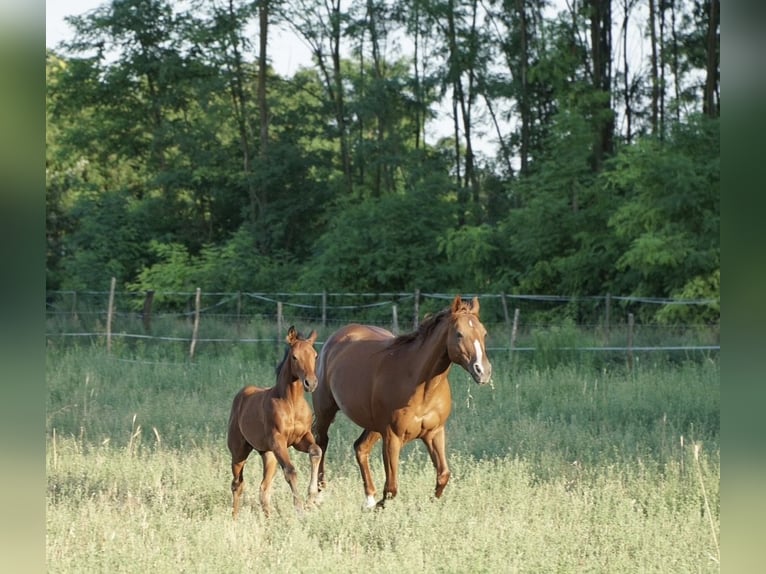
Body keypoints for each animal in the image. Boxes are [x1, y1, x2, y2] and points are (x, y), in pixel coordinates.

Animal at [226, 326, 321, 518]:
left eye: (315, 355)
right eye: (294, 356)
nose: (311, 383)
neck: (291, 403)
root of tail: (241, 395)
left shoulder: (301, 438)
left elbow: (316, 451)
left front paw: (312, 498)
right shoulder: (279, 441)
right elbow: (290, 471)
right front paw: (299, 509)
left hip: (269, 455)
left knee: (263, 489)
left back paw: (269, 519)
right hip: (239, 453)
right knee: (237, 484)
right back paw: (234, 519)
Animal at [312, 295, 492, 509]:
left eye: (484, 333)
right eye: (459, 334)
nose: (483, 371)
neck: (420, 384)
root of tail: (336, 338)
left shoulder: (434, 433)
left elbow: (443, 475)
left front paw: (428, 505)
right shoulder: (392, 437)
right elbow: (391, 488)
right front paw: (381, 507)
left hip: (373, 426)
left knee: (360, 448)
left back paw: (369, 499)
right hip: (326, 411)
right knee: (321, 444)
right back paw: (318, 494)